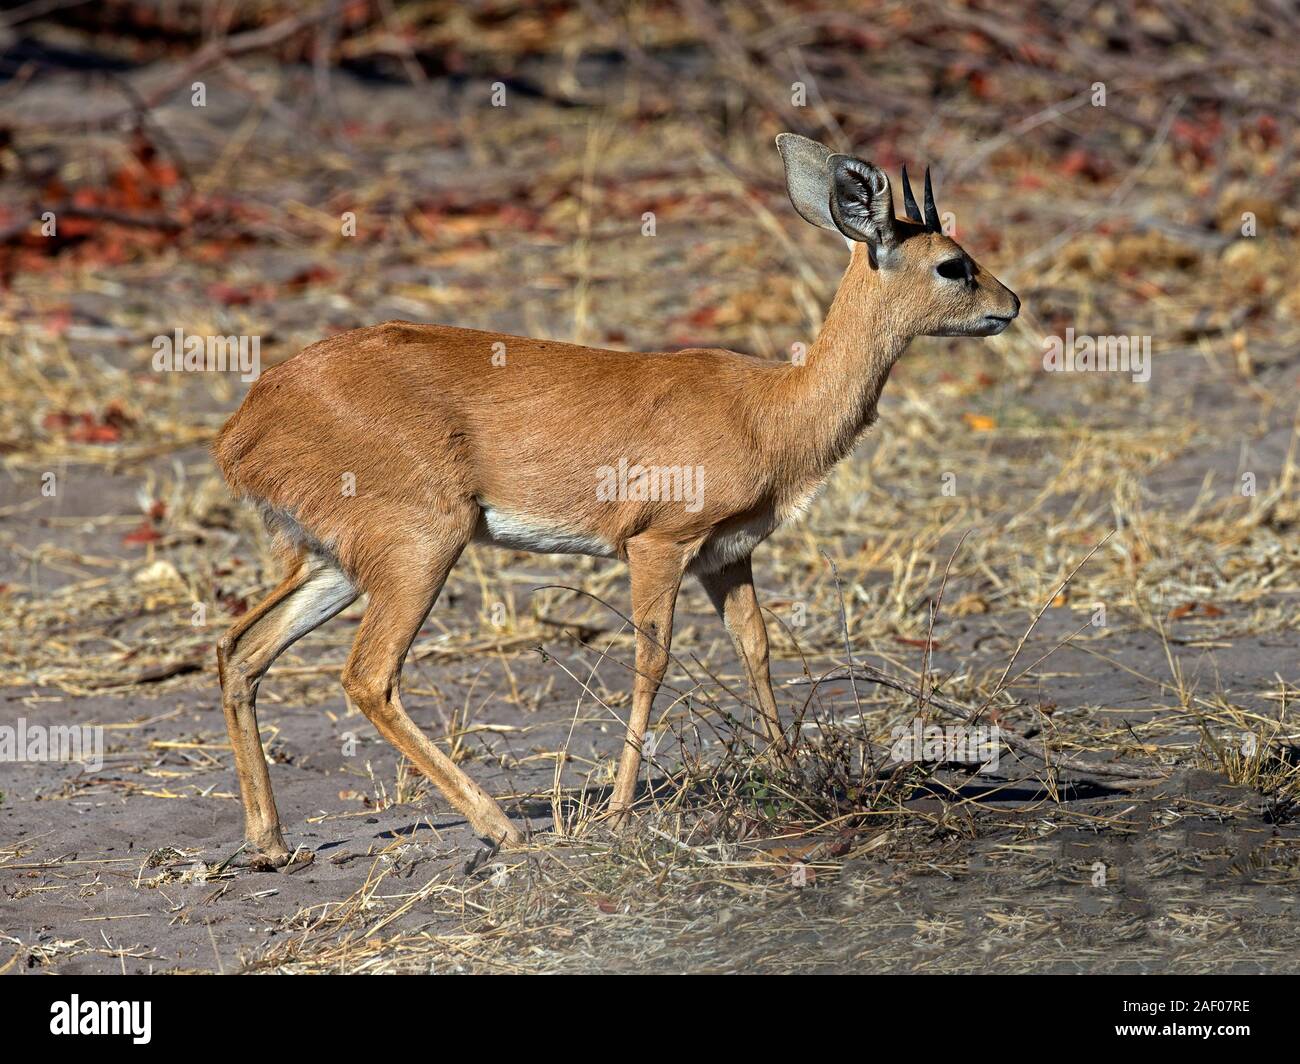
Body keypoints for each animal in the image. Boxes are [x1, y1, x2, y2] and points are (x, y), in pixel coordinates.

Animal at [215, 130, 1013, 863]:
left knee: (240, 649)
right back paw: (500, 827)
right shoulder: (657, 544)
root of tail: (247, 418)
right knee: (367, 677)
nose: (1011, 304)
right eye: (953, 264)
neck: (771, 411)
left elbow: (756, 647)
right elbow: (650, 662)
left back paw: (270, 843)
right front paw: (620, 810)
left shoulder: (727, 557)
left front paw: (790, 774)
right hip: (422, 548)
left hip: (335, 564)